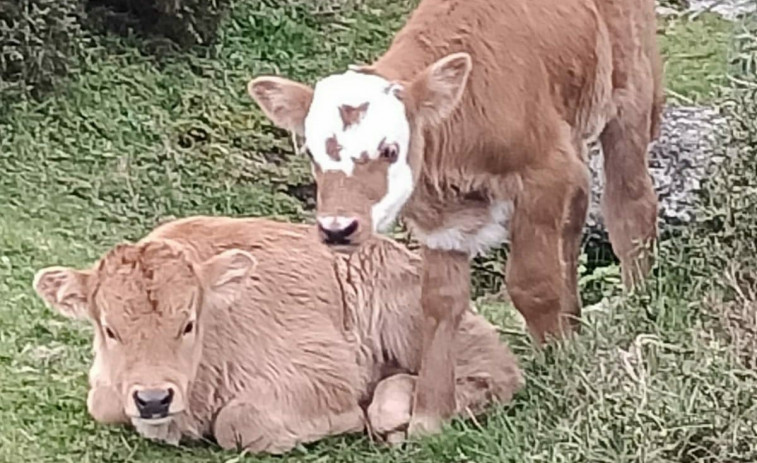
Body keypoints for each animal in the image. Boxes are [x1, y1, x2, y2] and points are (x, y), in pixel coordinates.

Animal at [32, 218, 524, 454]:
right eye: (109, 328)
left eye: (188, 322)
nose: (154, 399)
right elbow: (104, 404)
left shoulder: (324, 370)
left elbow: (239, 422)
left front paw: (344, 420)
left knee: (495, 371)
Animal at [250, 0, 660, 436]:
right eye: (311, 153)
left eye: (390, 150)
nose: (337, 229)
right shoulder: (442, 223)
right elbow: (439, 301)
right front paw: (430, 417)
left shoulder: (542, 172)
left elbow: (532, 285)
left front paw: (558, 364)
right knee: (577, 208)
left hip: (630, 84)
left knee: (628, 201)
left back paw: (638, 302)